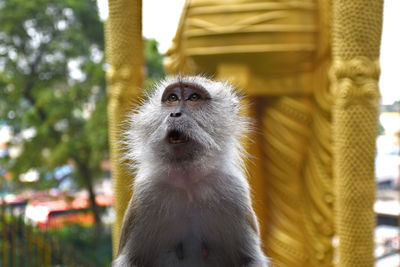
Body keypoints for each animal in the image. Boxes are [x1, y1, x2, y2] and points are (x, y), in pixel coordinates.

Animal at [112, 76, 268, 267]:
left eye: (194, 98)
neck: (187, 183)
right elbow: (130, 260)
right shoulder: (145, 195)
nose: (175, 114)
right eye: (172, 98)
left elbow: (248, 259)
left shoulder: (234, 192)